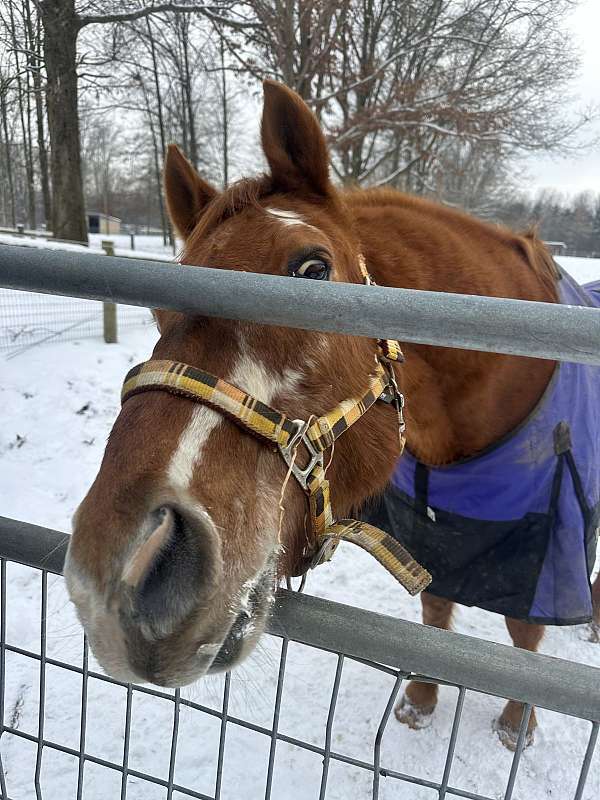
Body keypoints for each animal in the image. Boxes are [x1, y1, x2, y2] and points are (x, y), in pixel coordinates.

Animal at [63, 81, 596, 752]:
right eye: (158, 307)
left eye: (313, 270)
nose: (121, 571)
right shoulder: (439, 538)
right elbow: (435, 618)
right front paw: (423, 699)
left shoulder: (547, 546)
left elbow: (524, 639)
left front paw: (516, 720)